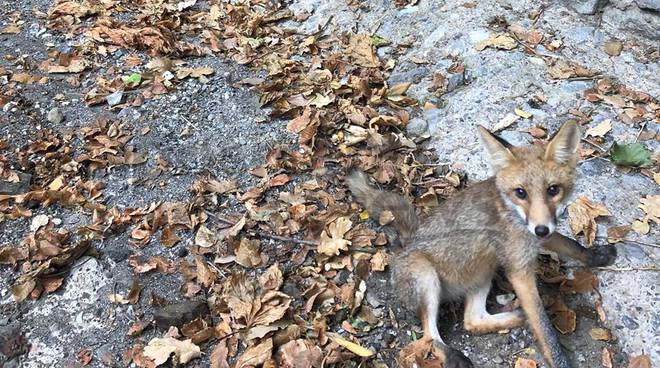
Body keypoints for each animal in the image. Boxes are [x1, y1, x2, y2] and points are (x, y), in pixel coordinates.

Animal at [346, 121, 620, 368]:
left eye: (553, 190)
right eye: (521, 192)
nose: (540, 229)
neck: (513, 213)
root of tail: (407, 244)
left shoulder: (540, 234)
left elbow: (571, 245)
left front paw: (596, 256)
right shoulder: (519, 270)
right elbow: (546, 331)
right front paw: (559, 359)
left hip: (483, 271)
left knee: (472, 321)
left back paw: (517, 316)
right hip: (427, 278)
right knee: (429, 335)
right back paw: (455, 356)